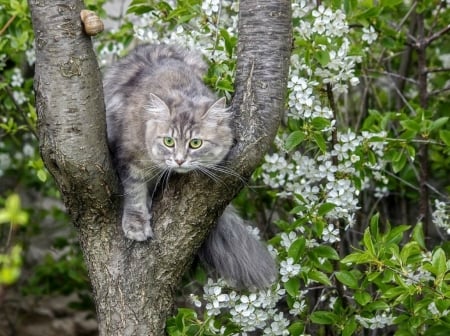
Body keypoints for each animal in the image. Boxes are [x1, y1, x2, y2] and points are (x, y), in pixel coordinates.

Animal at [104, 43, 278, 288]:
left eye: (195, 143)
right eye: (168, 141)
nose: (179, 159)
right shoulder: (129, 157)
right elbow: (134, 193)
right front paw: (136, 224)